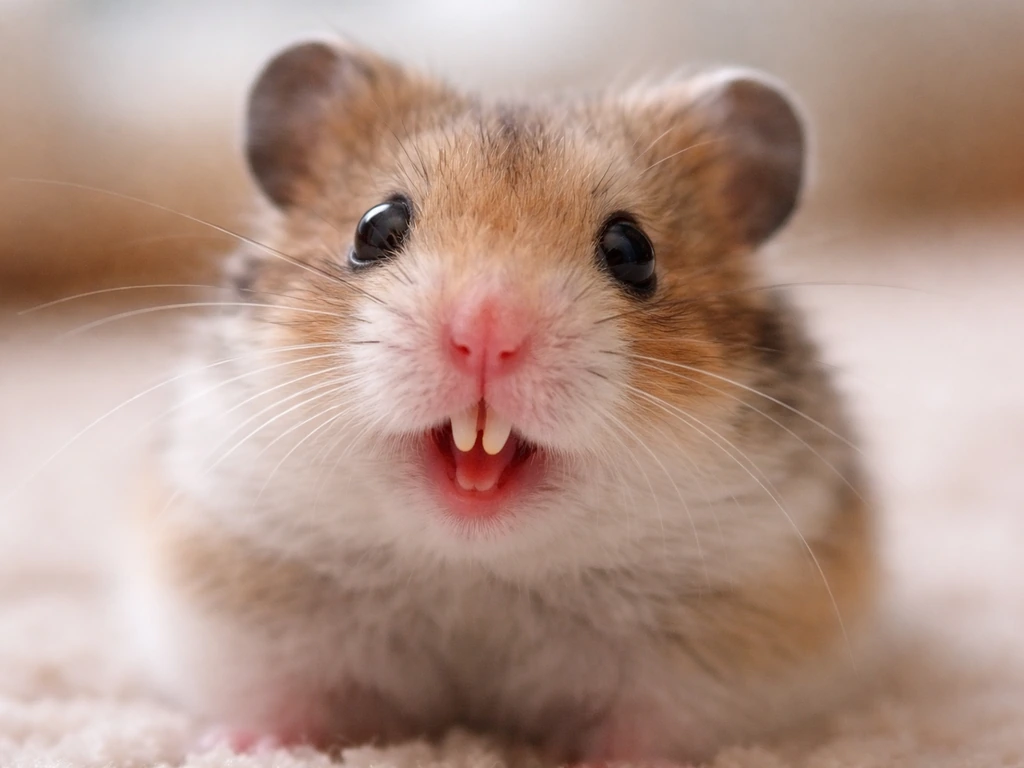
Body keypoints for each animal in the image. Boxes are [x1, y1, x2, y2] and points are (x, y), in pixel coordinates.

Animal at [124, 38, 877, 764]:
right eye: (375, 227)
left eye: (631, 250)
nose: (486, 330)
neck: (475, 566)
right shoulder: (248, 593)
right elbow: (283, 703)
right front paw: (233, 747)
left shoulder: (714, 647)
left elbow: (648, 733)